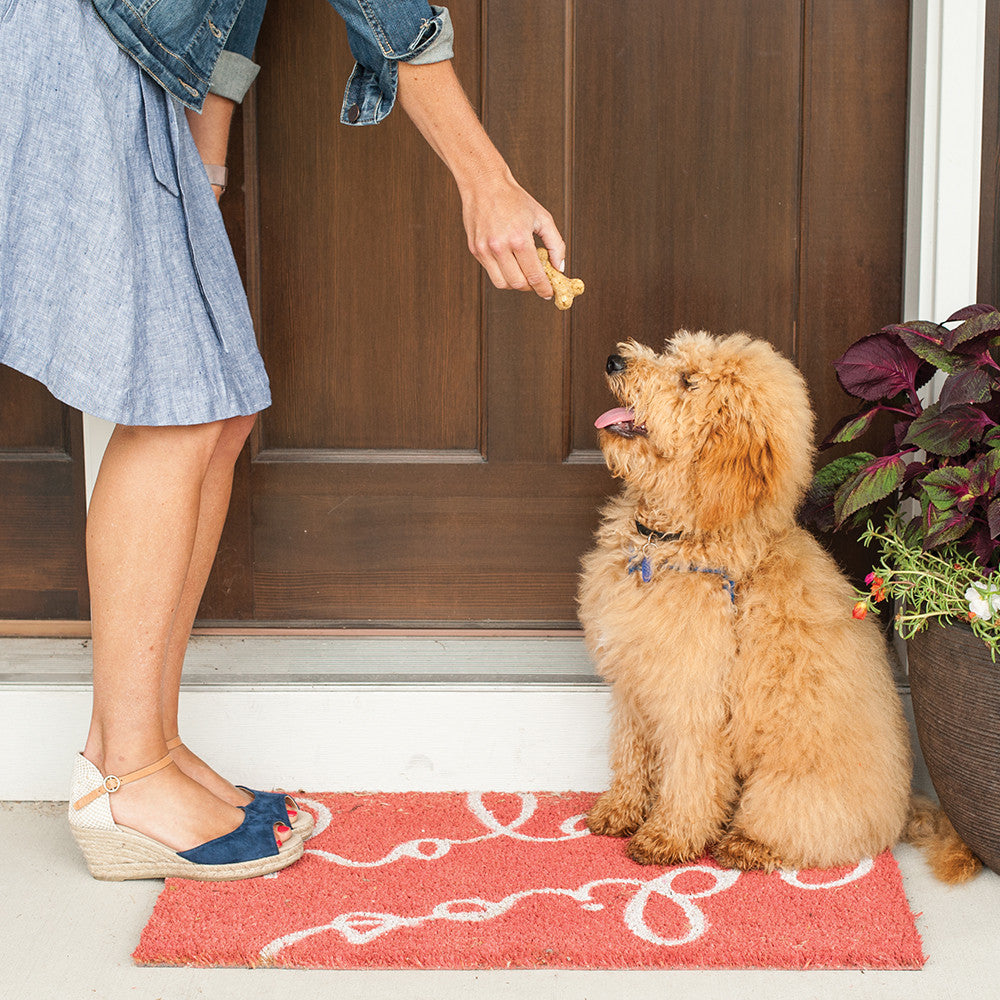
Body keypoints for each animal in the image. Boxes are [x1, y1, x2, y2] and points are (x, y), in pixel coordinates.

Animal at [580, 332, 976, 880]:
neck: (681, 542)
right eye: (671, 354)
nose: (614, 359)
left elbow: (689, 777)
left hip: (786, 789)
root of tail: (902, 808)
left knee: (807, 833)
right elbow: (631, 752)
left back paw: (745, 846)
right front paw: (618, 811)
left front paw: (667, 837)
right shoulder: (635, 686)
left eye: (688, 381)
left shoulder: (696, 701)